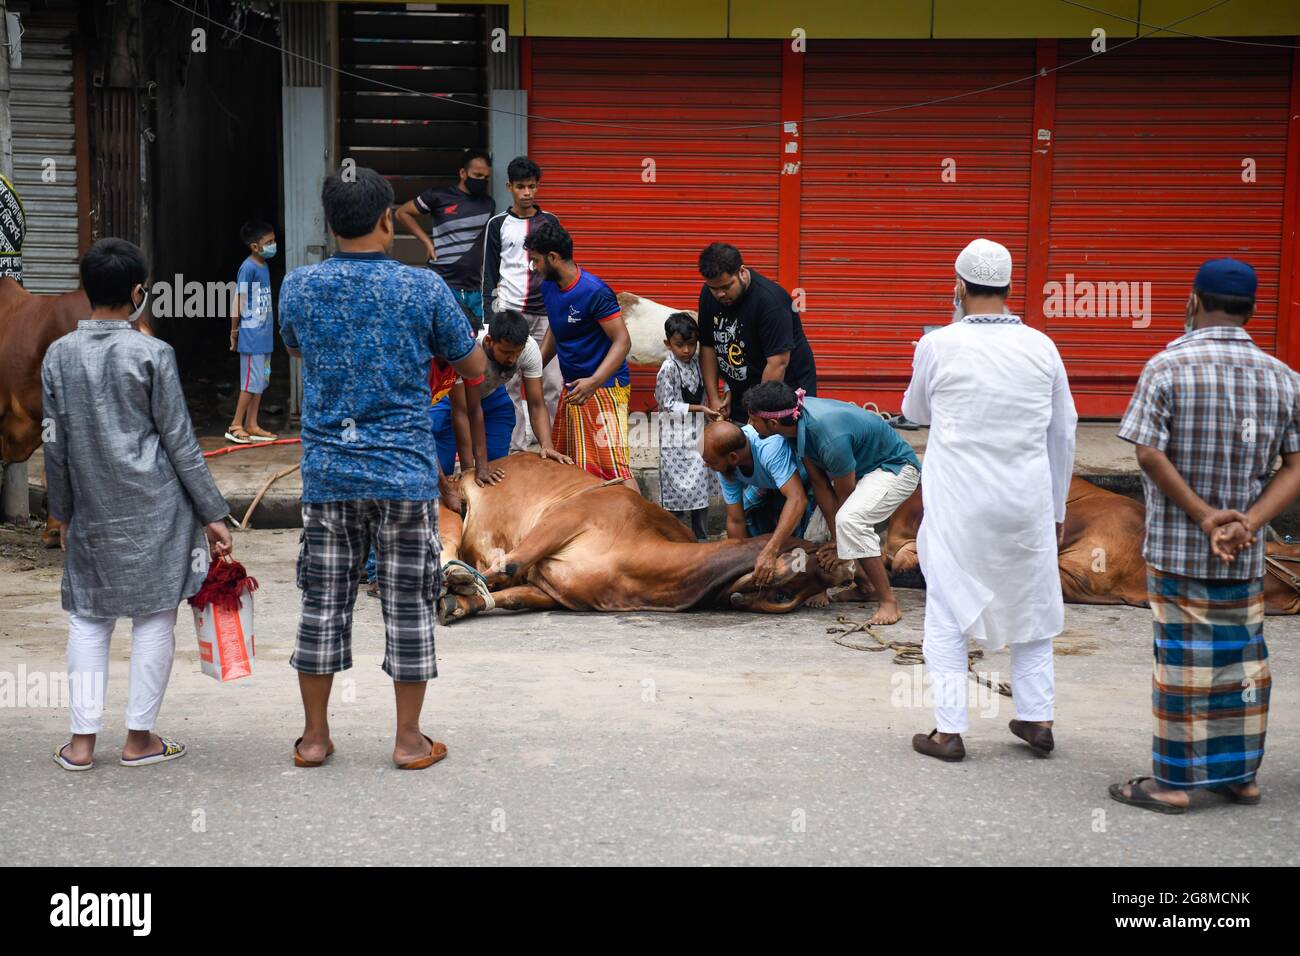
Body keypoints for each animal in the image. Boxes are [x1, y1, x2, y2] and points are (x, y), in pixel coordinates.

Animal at [436, 455, 852, 624]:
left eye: (785, 596)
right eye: (804, 563)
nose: (840, 574)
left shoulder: (550, 591)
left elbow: (508, 594)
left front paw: (459, 603)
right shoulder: (567, 518)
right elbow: (507, 565)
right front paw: (457, 584)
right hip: (449, 511)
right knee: (447, 549)